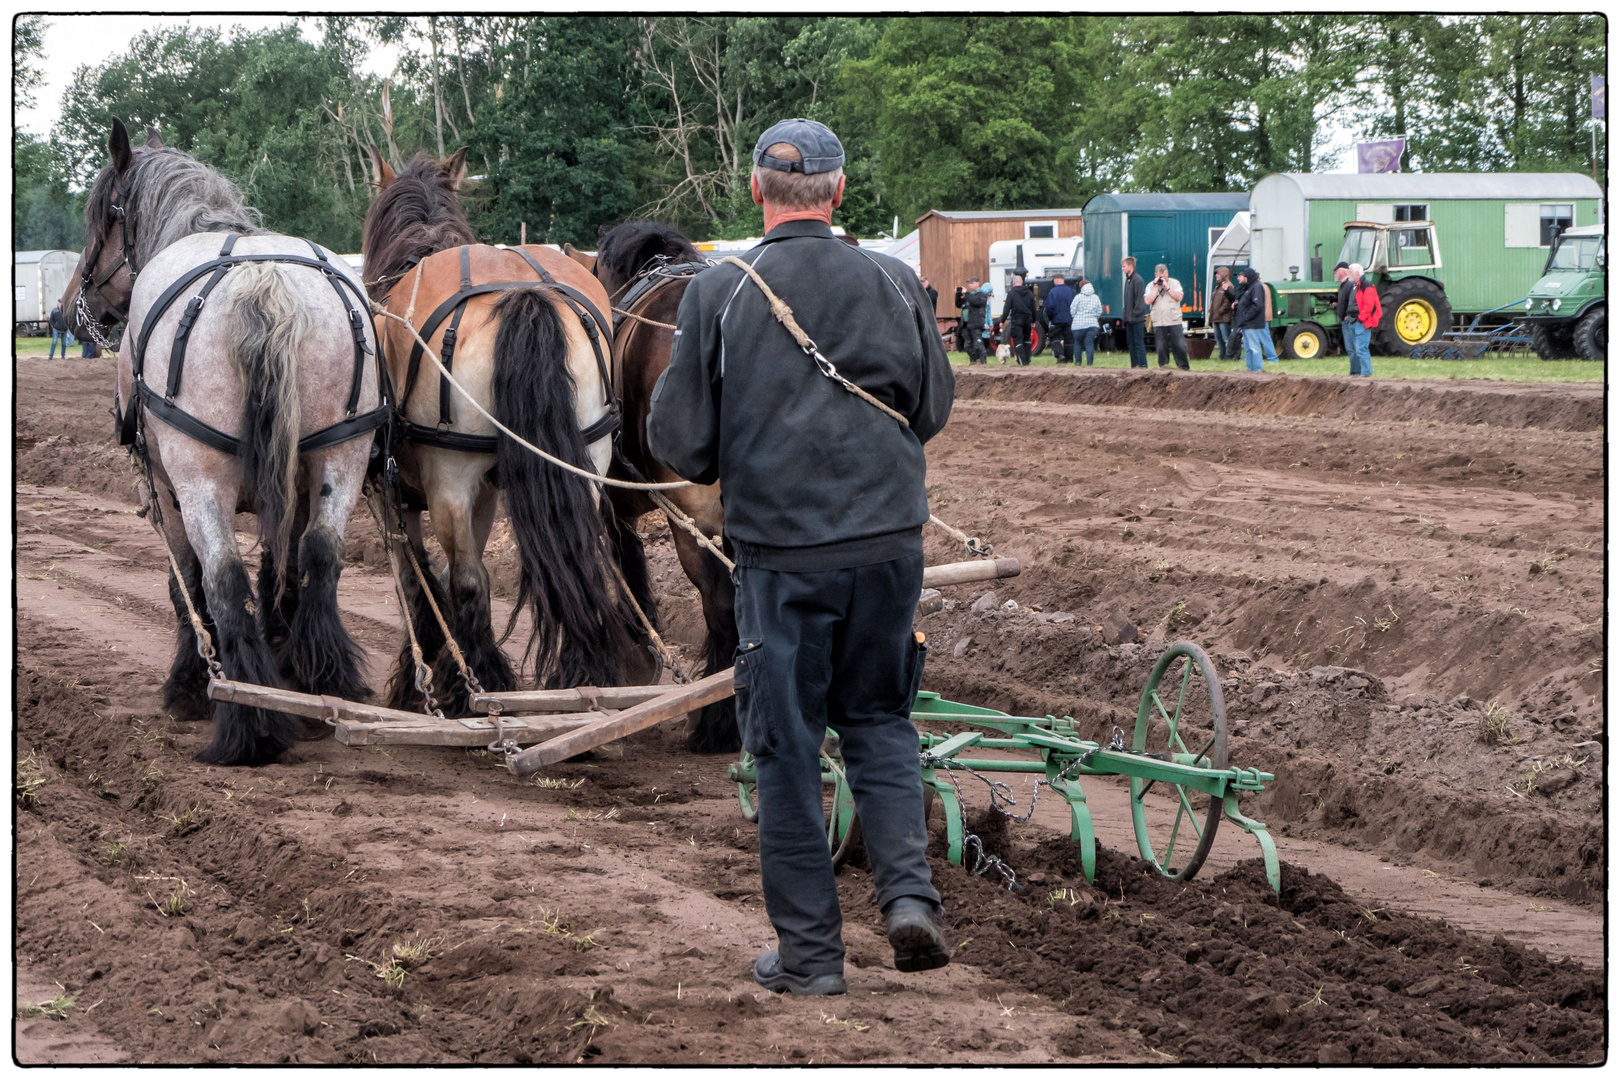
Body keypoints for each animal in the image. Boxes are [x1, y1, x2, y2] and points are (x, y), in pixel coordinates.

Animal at [63, 120, 385, 767]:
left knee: (223, 578)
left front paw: (188, 685)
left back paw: (250, 723)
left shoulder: (163, 490)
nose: (70, 310)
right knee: (319, 557)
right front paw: (284, 658)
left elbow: (185, 581)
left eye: (101, 218)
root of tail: (262, 281)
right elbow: (281, 568)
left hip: (199, 477)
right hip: (341, 454)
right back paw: (324, 684)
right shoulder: (290, 481)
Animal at [362, 149, 651, 709]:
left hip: (450, 478)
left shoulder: (398, 494)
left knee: (470, 580)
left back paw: (476, 683)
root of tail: (523, 294)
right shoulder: (485, 491)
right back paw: (585, 672)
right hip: (584, 462)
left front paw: (418, 675)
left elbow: (418, 579)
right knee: (579, 557)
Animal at [570, 223, 741, 757]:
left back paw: (716, 725)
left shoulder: (611, 501)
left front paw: (637, 655)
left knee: (720, 603)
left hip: (694, 517)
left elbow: (625, 561)